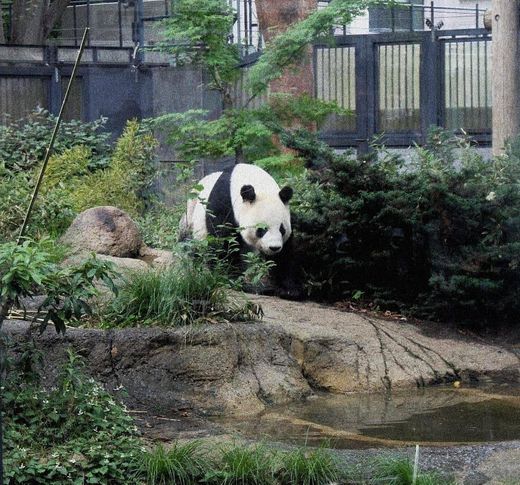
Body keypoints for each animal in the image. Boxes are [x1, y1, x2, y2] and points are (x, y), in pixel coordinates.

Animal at [180, 163, 300, 298]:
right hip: (191, 219)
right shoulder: (224, 203)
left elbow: (285, 253)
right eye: (261, 229)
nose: (274, 248)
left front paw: (289, 290)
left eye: (282, 229)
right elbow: (225, 242)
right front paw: (234, 280)